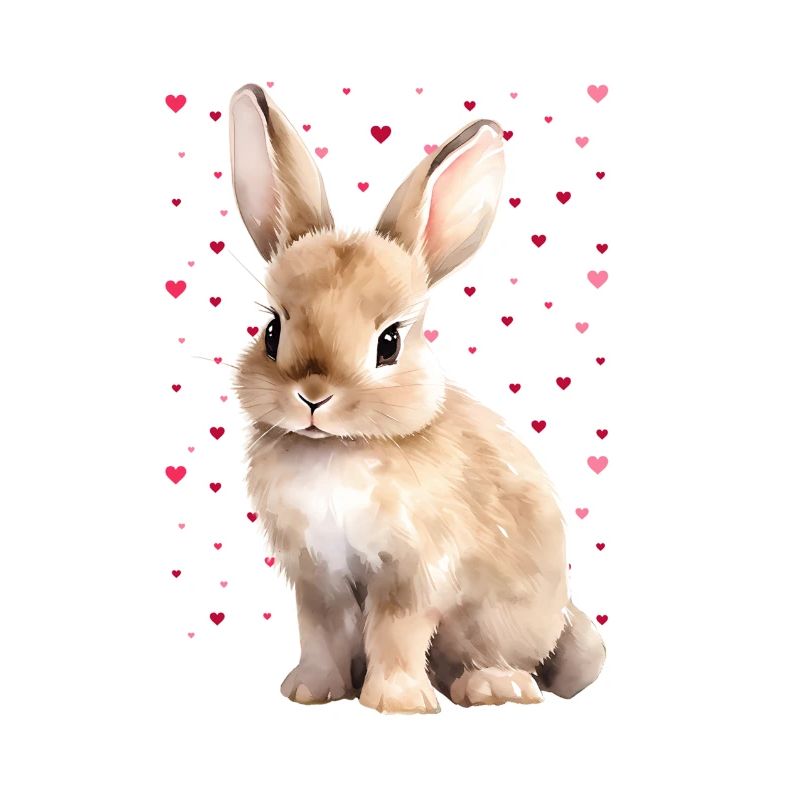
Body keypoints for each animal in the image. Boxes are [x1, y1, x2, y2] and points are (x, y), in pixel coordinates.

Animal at [230, 83, 605, 714]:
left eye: (389, 342)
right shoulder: (317, 576)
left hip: (498, 621)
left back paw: (492, 686)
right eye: (272, 331)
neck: (337, 448)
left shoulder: (414, 569)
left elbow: (397, 629)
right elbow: (321, 631)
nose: (312, 397)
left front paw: (397, 702)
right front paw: (309, 691)